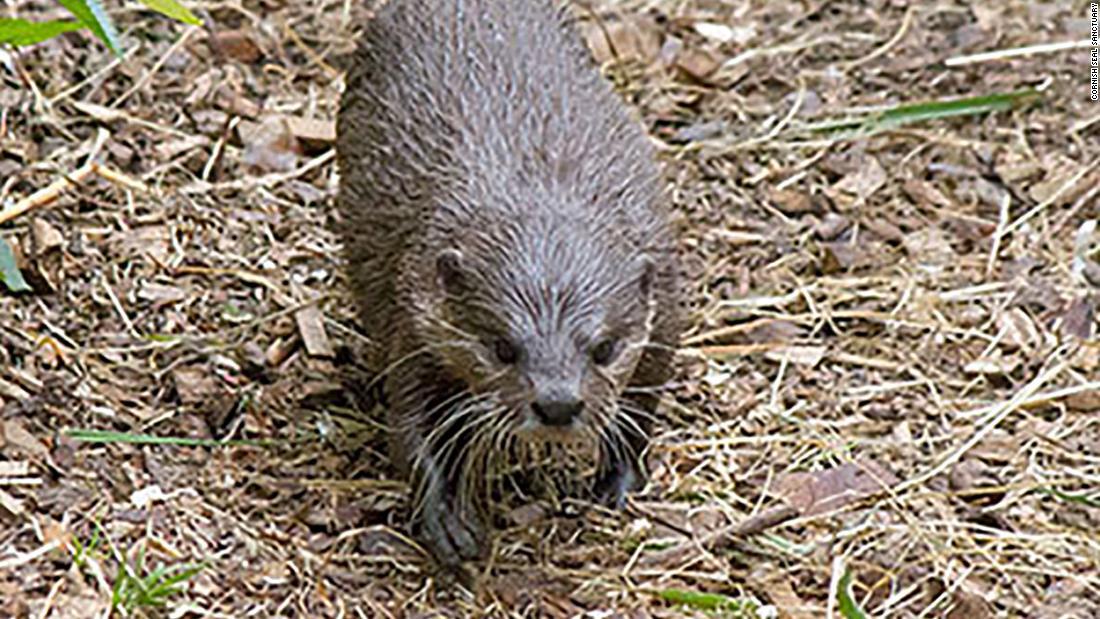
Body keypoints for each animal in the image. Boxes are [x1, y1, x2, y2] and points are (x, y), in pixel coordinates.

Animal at [332, 0, 677, 567]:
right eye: (500, 347)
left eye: (604, 349)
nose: (557, 404)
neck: (541, 183)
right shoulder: (414, 325)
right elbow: (412, 432)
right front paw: (448, 522)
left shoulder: (664, 314)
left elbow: (641, 408)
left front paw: (619, 482)